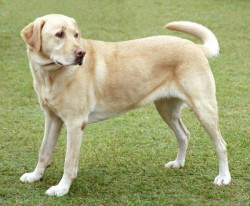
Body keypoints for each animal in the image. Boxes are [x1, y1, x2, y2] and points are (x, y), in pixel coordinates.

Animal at [20, 13, 231, 196]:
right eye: (59, 34)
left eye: (76, 34)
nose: (81, 54)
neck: (50, 75)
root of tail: (195, 47)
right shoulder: (52, 119)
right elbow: (44, 151)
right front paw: (35, 176)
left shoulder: (75, 123)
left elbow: (69, 161)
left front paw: (62, 188)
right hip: (166, 110)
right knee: (184, 135)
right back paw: (178, 163)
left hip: (203, 109)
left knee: (220, 144)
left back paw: (224, 177)